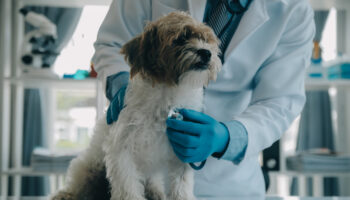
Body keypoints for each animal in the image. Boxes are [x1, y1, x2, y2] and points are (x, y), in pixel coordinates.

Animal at [51, 11, 221, 200]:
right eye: (180, 38)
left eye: (205, 39)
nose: (206, 53)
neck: (168, 93)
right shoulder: (122, 152)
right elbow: (128, 188)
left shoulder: (183, 148)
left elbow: (181, 186)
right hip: (90, 167)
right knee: (78, 183)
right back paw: (65, 195)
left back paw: (155, 193)